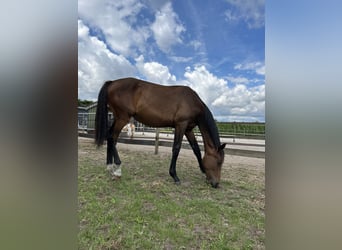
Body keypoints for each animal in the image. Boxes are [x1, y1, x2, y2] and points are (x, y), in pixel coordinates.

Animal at [95, 77, 226, 188]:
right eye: (219, 162)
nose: (216, 184)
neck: (192, 101)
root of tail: (112, 82)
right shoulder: (181, 125)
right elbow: (176, 148)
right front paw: (175, 176)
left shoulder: (188, 129)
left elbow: (196, 149)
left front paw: (203, 170)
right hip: (122, 118)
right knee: (112, 137)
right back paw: (117, 169)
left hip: (118, 118)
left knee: (110, 137)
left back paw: (109, 167)